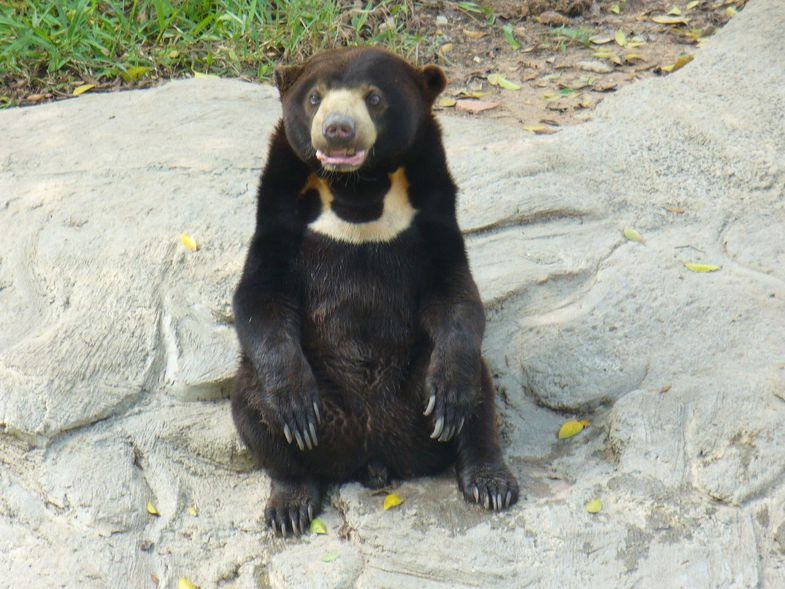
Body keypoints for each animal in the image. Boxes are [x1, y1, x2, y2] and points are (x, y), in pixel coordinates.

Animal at [230, 47, 516, 532]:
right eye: (314, 97)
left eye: (375, 97)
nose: (337, 130)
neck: (359, 190)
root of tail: (373, 453)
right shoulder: (279, 213)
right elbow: (258, 297)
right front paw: (294, 405)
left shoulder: (431, 209)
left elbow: (455, 294)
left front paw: (451, 396)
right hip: (312, 400)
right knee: (252, 406)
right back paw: (291, 501)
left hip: (416, 383)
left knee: (479, 396)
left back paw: (488, 479)